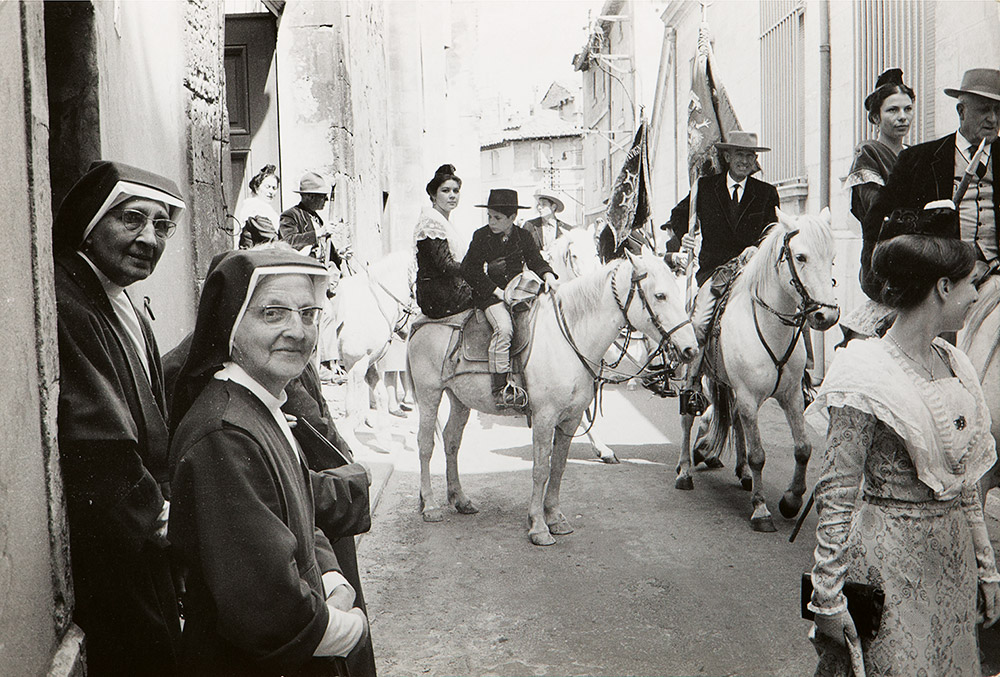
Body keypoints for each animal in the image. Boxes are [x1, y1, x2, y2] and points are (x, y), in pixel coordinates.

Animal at [335, 250, 414, 450]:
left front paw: (384, 438)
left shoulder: (369, 363)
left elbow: (381, 395)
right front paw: (349, 439)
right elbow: (353, 403)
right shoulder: (356, 364)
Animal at [407, 251, 698, 545]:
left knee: (451, 441)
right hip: (430, 394)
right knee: (425, 444)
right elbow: (540, 469)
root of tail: (421, 322)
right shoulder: (544, 418)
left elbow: (558, 467)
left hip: (459, 400)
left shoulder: (570, 419)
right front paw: (538, 526)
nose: (691, 349)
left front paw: (555, 518)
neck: (569, 338)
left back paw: (460, 499)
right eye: (660, 295)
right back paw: (430, 505)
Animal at [674, 208, 840, 532]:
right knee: (688, 418)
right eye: (800, 257)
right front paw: (761, 510)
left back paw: (744, 474)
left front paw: (791, 500)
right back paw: (685, 471)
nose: (826, 315)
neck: (772, 326)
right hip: (695, 369)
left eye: (832, 258)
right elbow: (759, 454)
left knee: (736, 420)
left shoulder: (791, 395)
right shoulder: (750, 396)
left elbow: (803, 447)